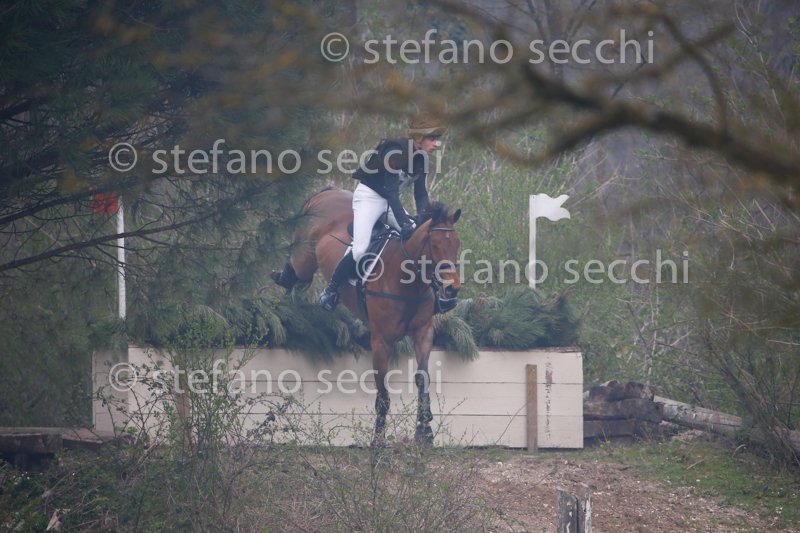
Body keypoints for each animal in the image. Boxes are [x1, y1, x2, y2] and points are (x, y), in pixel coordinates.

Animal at [272, 187, 462, 446]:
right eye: (435, 244)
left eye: (457, 244)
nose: (452, 290)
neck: (407, 280)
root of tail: (327, 191)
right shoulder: (381, 341)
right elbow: (382, 393)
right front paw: (378, 440)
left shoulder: (423, 333)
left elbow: (422, 378)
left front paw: (424, 431)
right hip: (304, 259)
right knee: (293, 273)